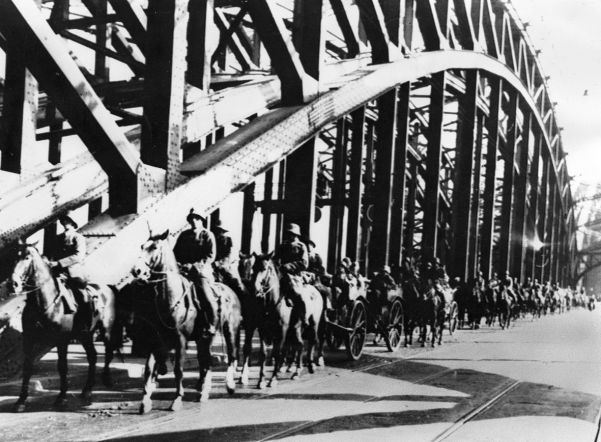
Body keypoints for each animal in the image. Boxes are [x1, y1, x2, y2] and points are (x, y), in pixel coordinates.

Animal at [10, 242, 119, 410]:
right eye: (14, 257)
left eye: (27, 257)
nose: (14, 283)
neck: (44, 302)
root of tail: (107, 287)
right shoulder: (28, 339)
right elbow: (27, 366)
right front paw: (21, 401)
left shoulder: (61, 339)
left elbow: (62, 366)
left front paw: (61, 398)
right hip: (85, 335)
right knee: (92, 357)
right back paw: (87, 391)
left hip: (106, 330)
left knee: (108, 352)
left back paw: (106, 380)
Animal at [127, 230, 243, 412]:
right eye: (142, 246)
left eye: (154, 247)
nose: (136, 270)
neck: (169, 296)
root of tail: (231, 291)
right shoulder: (156, 341)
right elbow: (148, 369)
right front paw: (145, 401)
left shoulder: (180, 340)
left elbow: (178, 370)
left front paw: (177, 399)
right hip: (205, 337)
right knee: (205, 361)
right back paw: (203, 391)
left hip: (231, 330)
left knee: (231, 356)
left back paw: (229, 385)